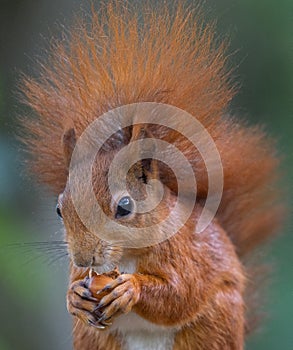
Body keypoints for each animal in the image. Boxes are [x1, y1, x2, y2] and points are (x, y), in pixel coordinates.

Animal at [18, 1, 282, 348]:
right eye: (59, 209)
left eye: (125, 207)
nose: (84, 258)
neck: (127, 254)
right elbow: (75, 287)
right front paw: (74, 296)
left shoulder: (184, 254)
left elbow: (180, 293)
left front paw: (131, 288)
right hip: (94, 338)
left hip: (214, 325)